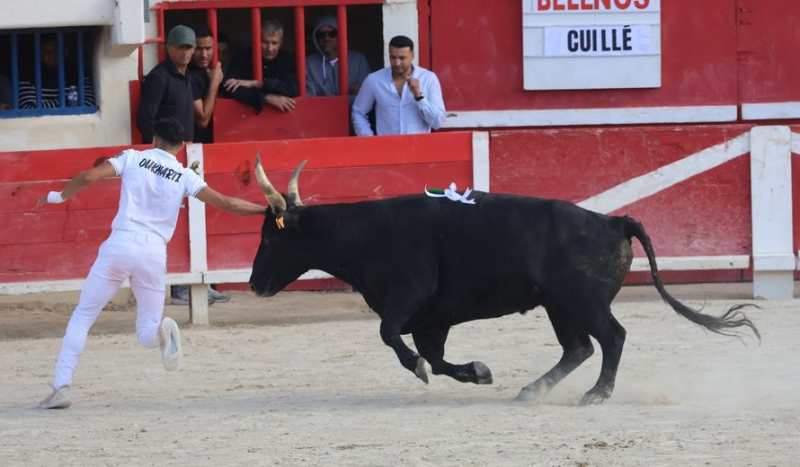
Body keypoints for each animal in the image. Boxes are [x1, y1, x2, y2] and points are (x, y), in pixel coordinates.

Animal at [247, 157, 760, 406]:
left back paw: (597, 394)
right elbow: (436, 356)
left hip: (582, 300)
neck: (368, 231)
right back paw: (532, 391)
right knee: (579, 348)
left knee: (611, 337)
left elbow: (390, 334)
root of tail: (613, 220)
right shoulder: (433, 317)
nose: (253, 283)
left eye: (269, 239)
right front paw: (478, 372)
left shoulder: (411, 292)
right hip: (558, 305)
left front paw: (422, 369)